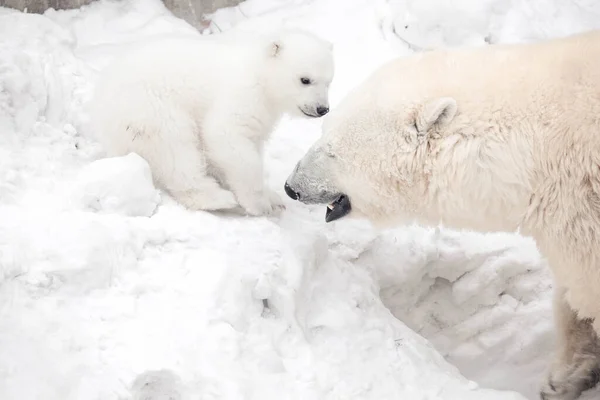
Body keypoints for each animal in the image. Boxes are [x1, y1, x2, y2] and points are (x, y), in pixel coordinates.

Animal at [90, 28, 332, 216]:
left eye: (329, 81)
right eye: (305, 79)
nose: (322, 109)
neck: (259, 74)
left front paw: (273, 198)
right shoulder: (241, 95)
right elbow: (225, 136)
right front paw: (259, 203)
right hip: (151, 109)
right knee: (175, 150)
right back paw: (219, 199)